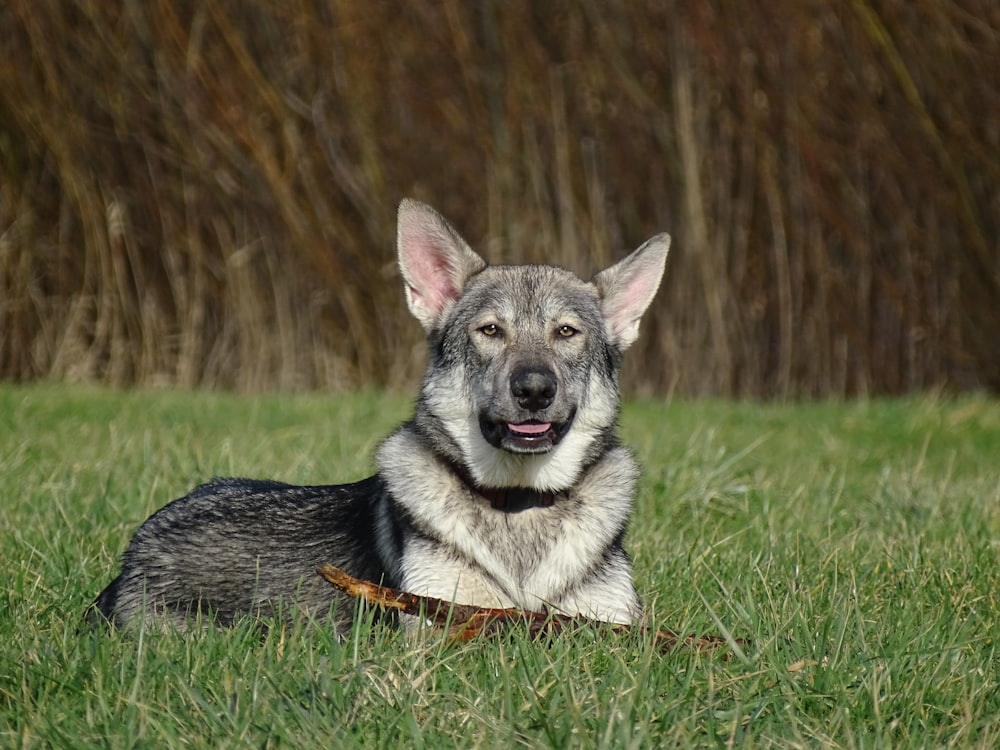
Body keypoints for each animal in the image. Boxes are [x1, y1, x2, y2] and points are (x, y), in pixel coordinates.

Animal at [90, 200, 668, 636]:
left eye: (566, 333)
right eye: (490, 331)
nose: (533, 390)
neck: (518, 506)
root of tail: (130, 558)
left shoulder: (610, 622)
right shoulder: (438, 626)